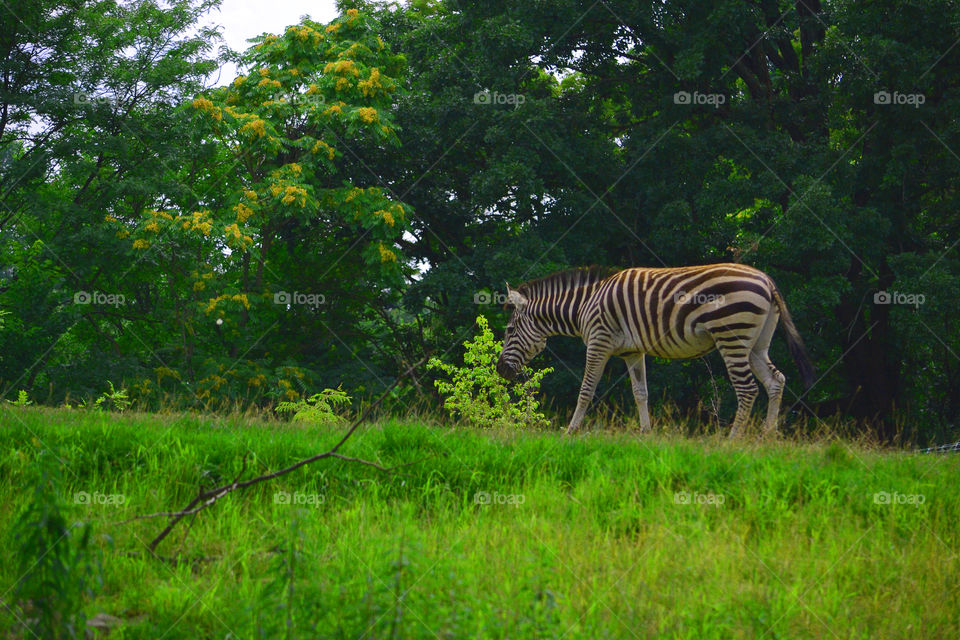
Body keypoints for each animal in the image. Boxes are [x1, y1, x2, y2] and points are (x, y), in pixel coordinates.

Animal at [496, 264, 816, 436]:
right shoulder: (632, 351)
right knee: (776, 381)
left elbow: (586, 390)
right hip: (756, 343)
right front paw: (646, 434)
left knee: (747, 389)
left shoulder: (599, 341)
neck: (586, 304)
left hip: (732, 335)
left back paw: (732, 440)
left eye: (510, 331)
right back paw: (766, 436)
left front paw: (571, 431)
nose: (500, 370)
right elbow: (641, 393)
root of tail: (766, 280)